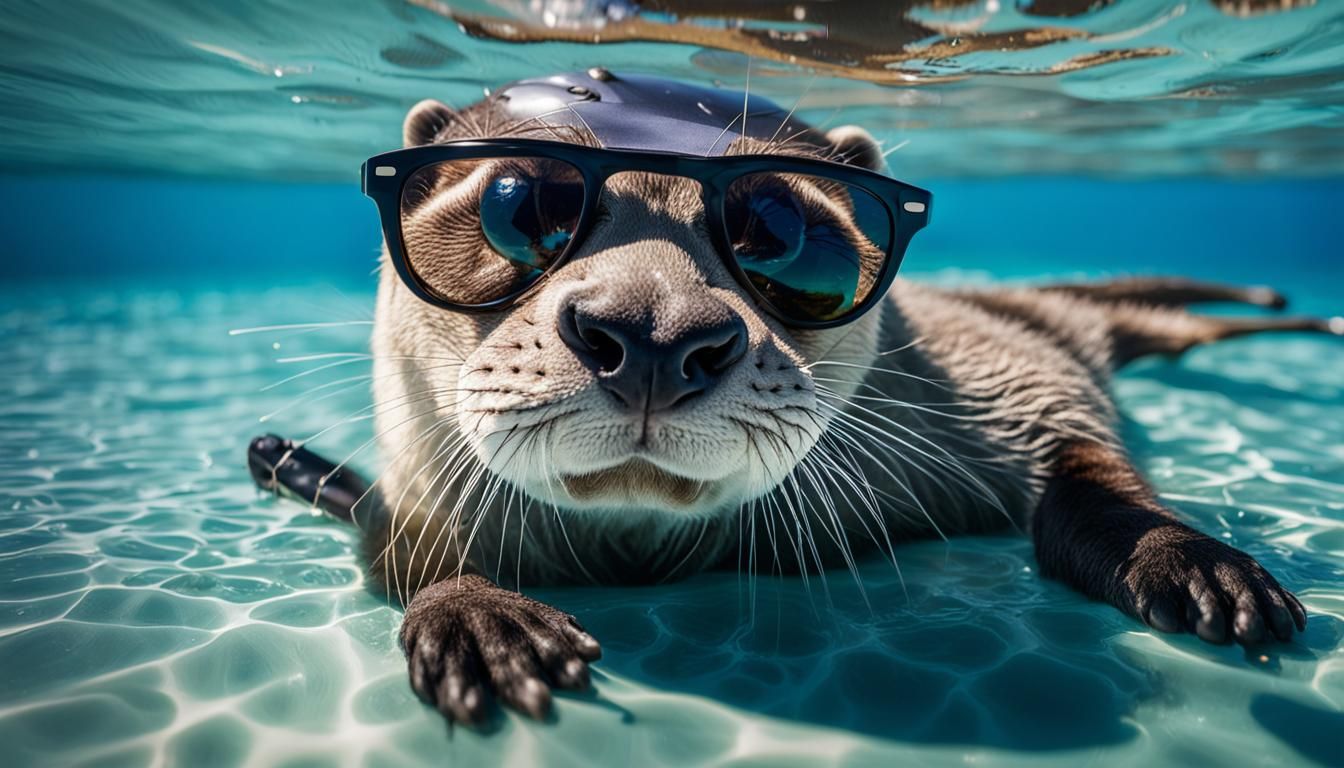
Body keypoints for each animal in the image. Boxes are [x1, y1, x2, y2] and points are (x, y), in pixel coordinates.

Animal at [278, 70, 1342, 725]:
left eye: (779, 226)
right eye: (520, 200)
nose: (654, 333)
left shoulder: (994, 382)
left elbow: (1077, 442)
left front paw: (1188, 559)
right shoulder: (407, 497)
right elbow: (400, 552)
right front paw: (479, 619)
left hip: (1032, 320)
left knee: (1155, 321)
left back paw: (1288, 314)